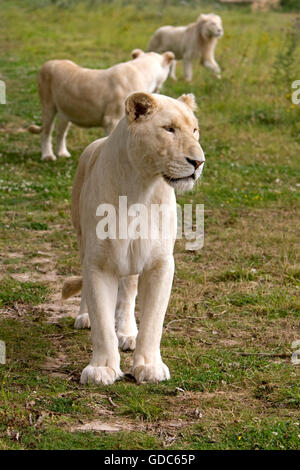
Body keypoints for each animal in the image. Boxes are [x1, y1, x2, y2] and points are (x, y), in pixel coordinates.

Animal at [28, 50, 175, 162]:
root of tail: (48, 63)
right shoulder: (111, 119)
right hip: (48, 106)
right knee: (46, 133)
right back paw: (48, 156)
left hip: (66, 111)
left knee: (60, 132)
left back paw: (63, 153)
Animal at [62, 92, 205, 386]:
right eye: (169, 129)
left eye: (195, 130)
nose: (198, 162)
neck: (140, 188)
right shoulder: (98, 262)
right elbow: (102, 322)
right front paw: (101, 369)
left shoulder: (160, 262)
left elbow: (153, 321)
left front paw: (149, 367)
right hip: (82, 240)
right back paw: (84, 316)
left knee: (128, 291)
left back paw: (127, 333)